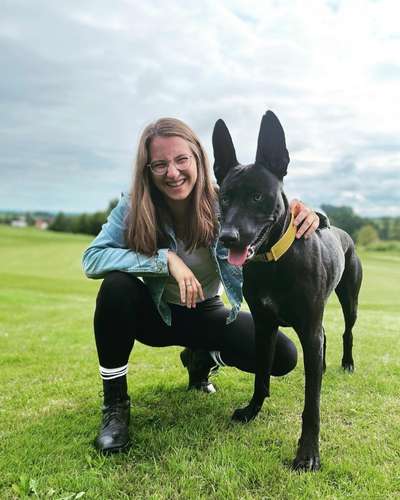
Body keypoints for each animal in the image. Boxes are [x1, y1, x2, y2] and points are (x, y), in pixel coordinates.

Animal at [212, 111, 362, 470]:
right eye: (225, 197)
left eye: (257, 196)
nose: (227, 237)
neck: (274, 261)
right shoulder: (264, 327)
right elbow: (261, 375)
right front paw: (252, 410)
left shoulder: (307, 327)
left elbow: (312, 405)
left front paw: (307, 454)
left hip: (350, 299)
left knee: (346, 331)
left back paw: (346, 362)